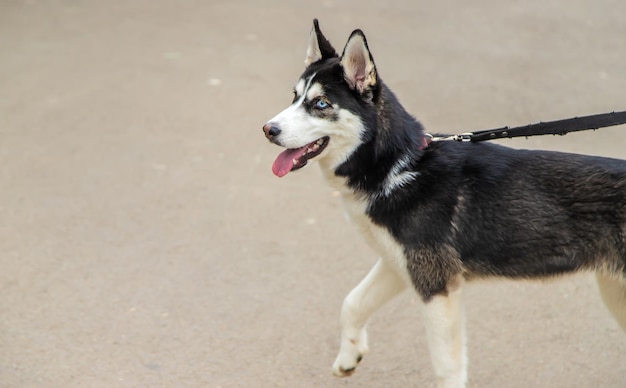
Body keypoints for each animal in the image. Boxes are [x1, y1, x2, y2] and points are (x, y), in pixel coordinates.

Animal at [260, 19, 624, 386]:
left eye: (320, 104)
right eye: (295, 97)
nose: (268, 129)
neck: (398, 167)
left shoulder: (437, 286)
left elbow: (446, 368)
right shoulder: (398, 264)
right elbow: (351, 303)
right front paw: (349, 357)